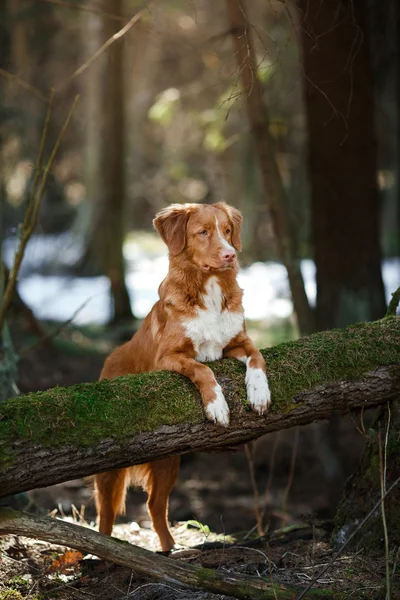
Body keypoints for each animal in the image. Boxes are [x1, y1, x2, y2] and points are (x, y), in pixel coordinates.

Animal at [95, 204, 270, 552]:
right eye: (203, 232)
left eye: (227, 230)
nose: (230, 254)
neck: (210, 288)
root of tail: (109, 360)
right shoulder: (170, 356)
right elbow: (202, 369)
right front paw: (217, 407)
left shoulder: (239, 342)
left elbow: (259, 357)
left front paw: (259, 393)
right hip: (110, 471)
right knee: (105, 515)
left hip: (169, 460)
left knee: (155, 506)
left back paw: (168, 552)